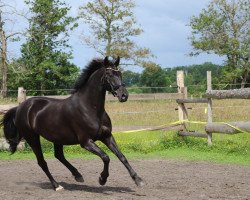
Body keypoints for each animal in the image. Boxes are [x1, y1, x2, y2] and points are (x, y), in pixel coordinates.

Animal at [1, 56, 145, 191]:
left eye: (120, 74)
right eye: (109, 74)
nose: (124, 95)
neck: (90, 108)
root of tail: (20, 107)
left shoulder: (107, 136)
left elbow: (122, 156)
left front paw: (138, 180)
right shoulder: (86, 142)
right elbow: (106, 157)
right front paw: (102, 179)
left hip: (57, 137)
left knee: (58, 155)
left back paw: (78, 175)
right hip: (32, 138)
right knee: (42, 162)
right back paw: (57, 186)